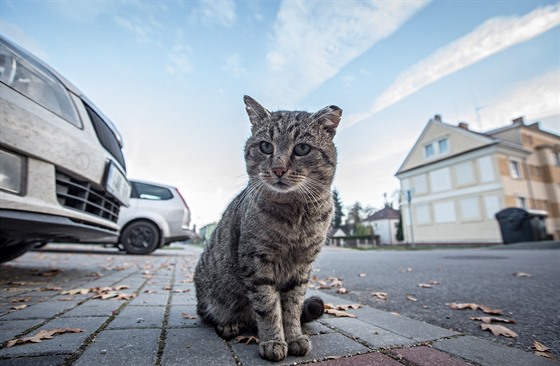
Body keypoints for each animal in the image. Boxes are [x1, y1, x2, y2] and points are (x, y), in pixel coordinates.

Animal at [192, 96, 342, 362]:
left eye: (302, 149)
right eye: (265, 146)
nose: (278, 169)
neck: (295, 218)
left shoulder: (302, 268)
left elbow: (291, 308)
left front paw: (294, 337)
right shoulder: (256, 261)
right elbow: (268, 306)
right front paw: (273, 340)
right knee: (211, 314)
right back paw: (229, 324)